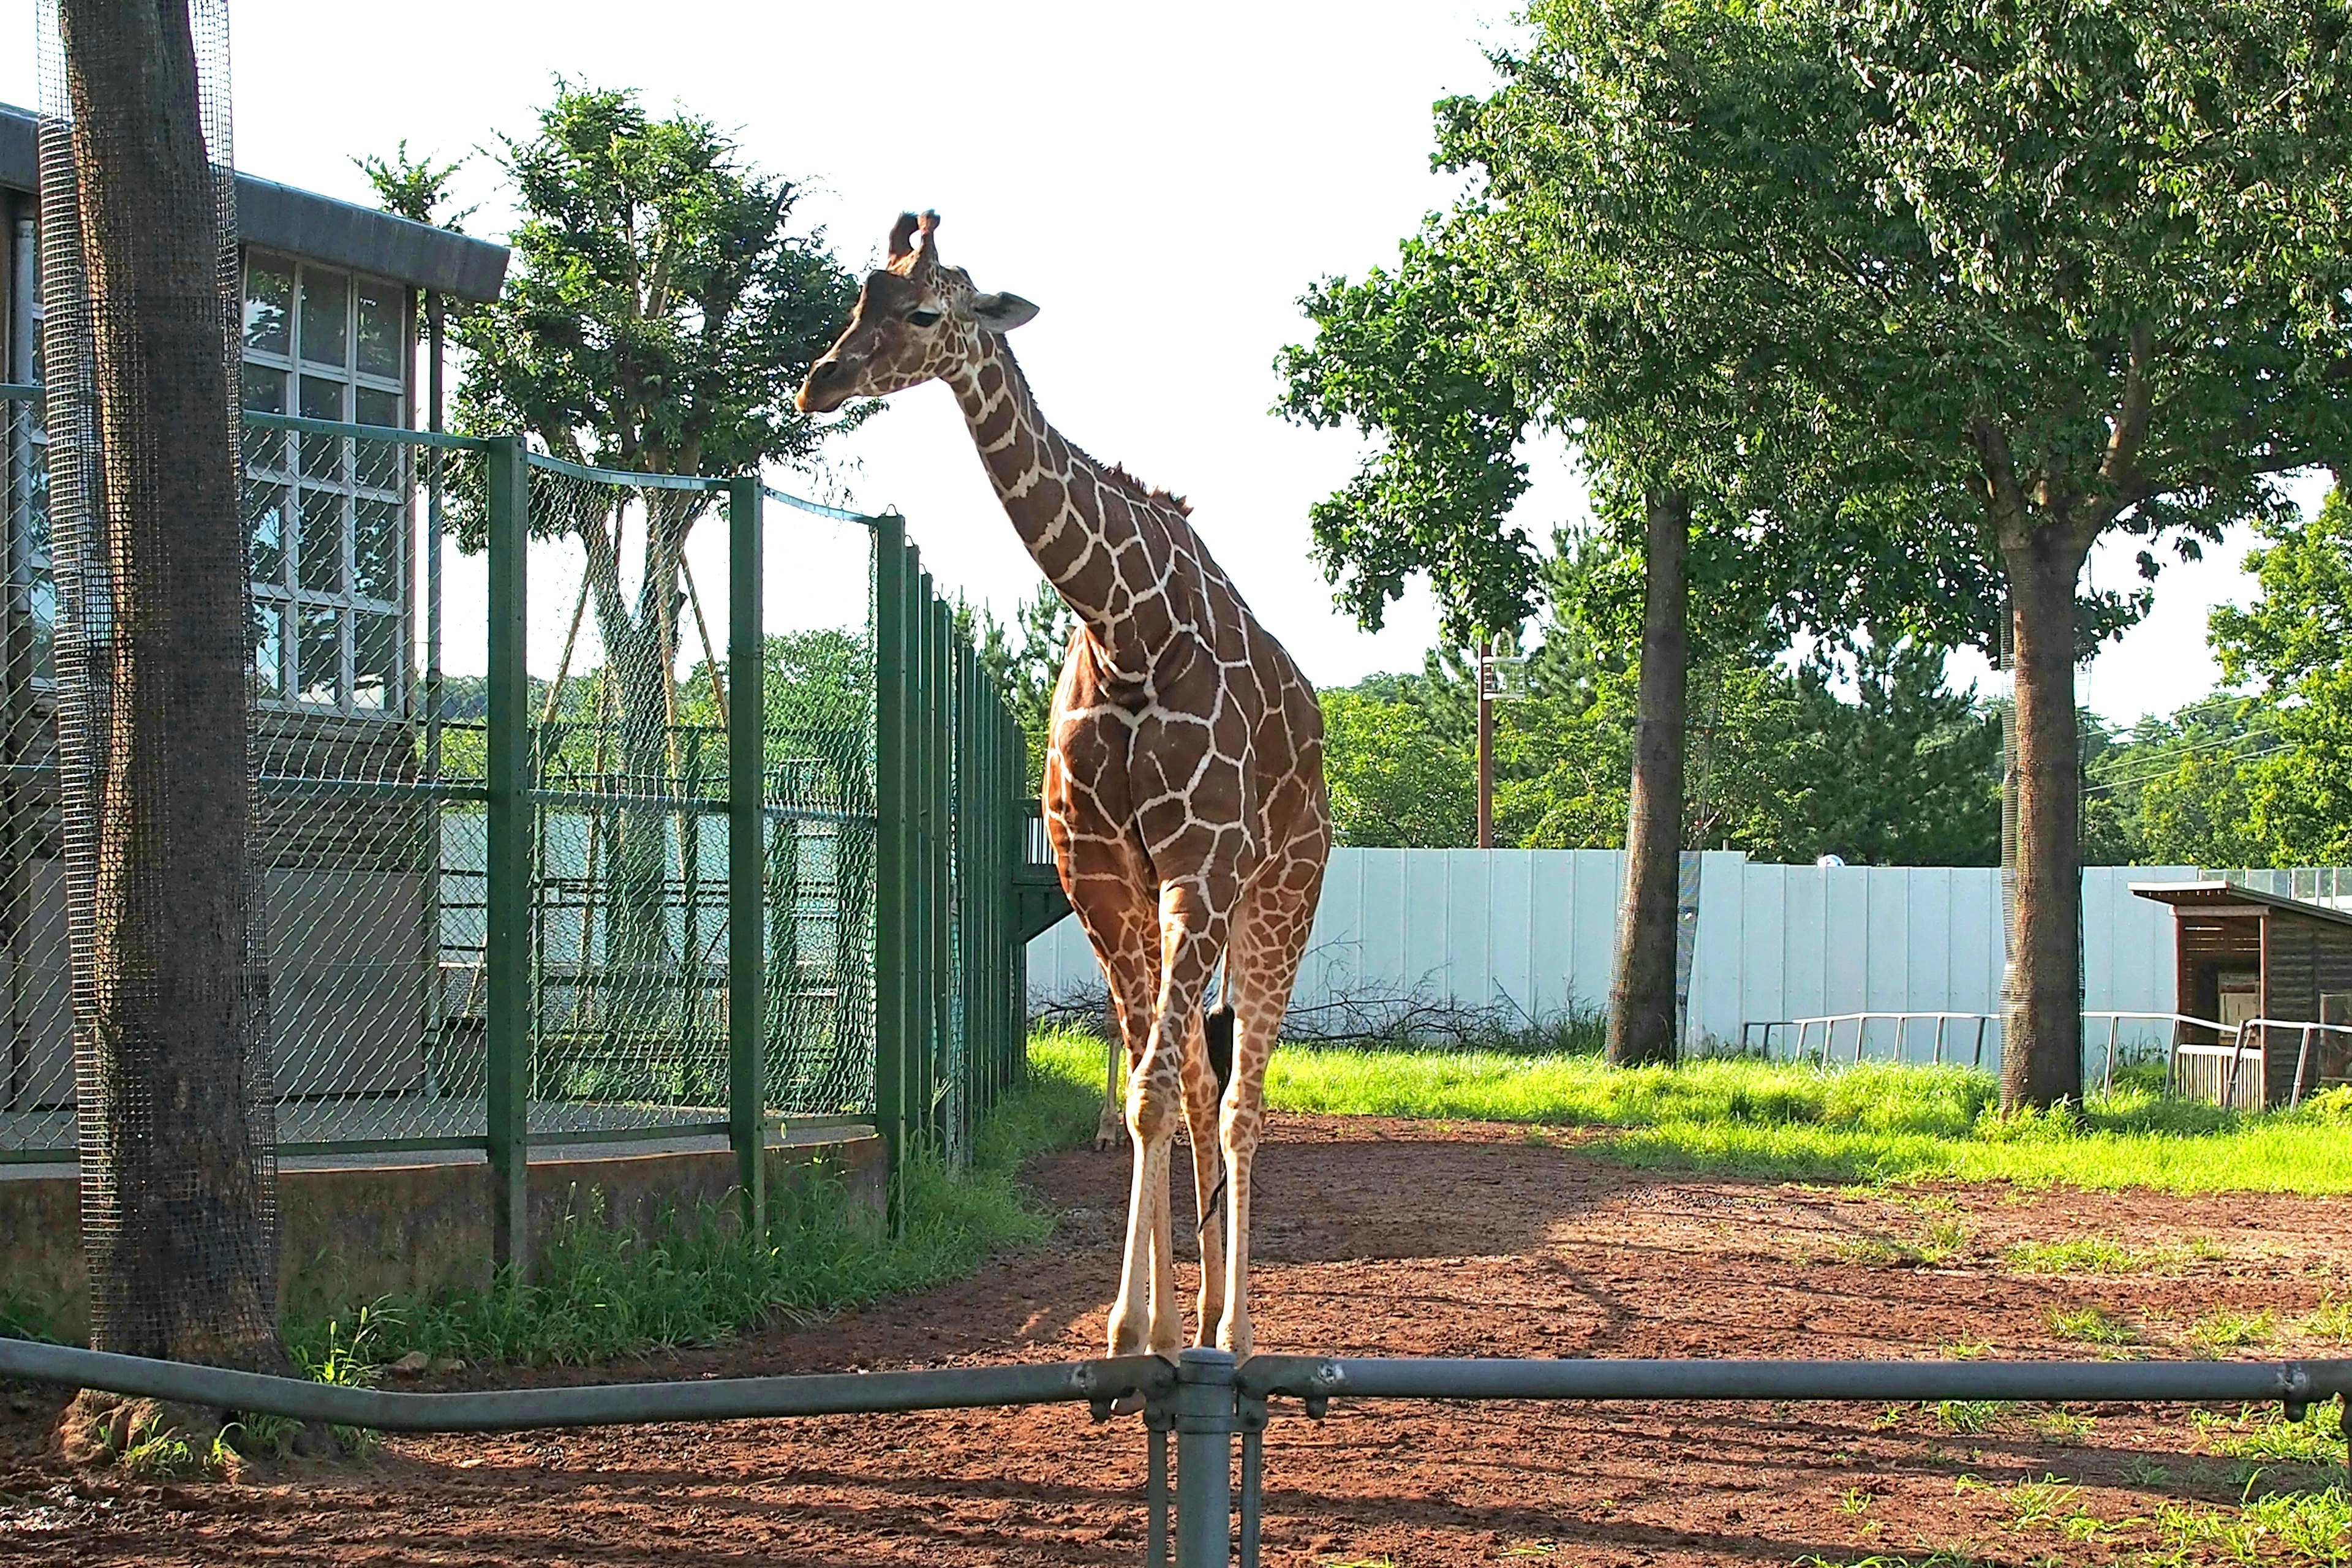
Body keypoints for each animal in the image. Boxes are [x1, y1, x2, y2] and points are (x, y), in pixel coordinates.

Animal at [804, 211, 1326, 1363]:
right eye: (857, 297)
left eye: (925, 313)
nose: (822, 380)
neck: (1129, 626)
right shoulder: (1101, 878)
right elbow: (1143, 1090)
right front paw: (1145, 1333)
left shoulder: (1193, 868)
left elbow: (1161, 1091)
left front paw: (1146, 1326)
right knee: (1198, 1079)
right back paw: (1200, 1318)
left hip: (1280, 895)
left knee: (1245, 1100)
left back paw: (1237, 1329)